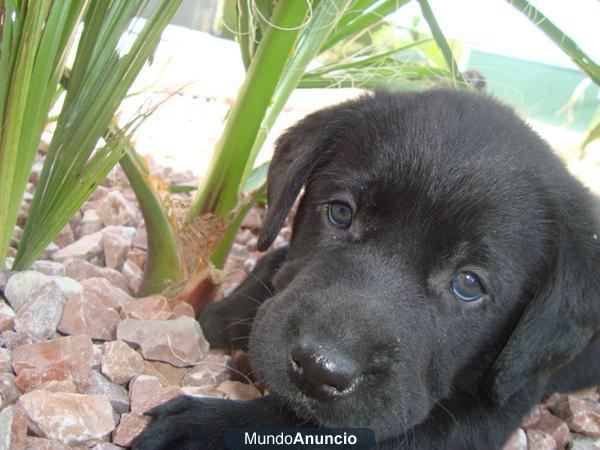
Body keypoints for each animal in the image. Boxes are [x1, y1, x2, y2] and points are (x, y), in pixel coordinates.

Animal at [136, 89, 600, 450]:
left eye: (468, 284)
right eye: (341, 213)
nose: (319, 368)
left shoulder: (487, 408)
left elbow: (324, 429)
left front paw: (205, 430)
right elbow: (274, 262)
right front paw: (218, 316)